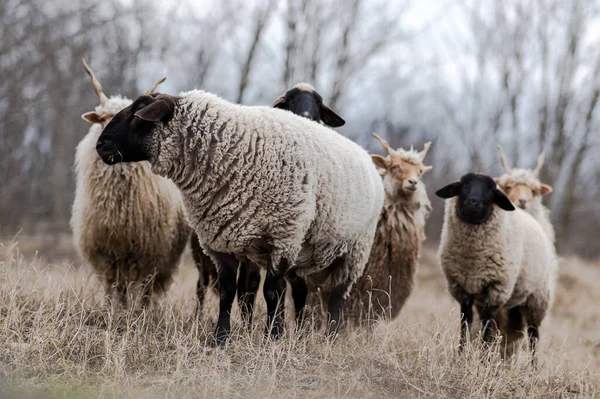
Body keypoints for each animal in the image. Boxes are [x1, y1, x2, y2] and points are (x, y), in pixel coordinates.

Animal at [71, 59, 191, 306]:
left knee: (149, 285)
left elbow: (138, 281)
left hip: (163, 257)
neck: (117, 206)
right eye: (102, 119)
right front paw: (111, 307)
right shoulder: (106, 249)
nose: (104, 145)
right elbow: (112, 281)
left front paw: (133, 310)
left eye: (134, 120)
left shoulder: (143, 250)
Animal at [95, 89, 384, 346]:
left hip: (355, 249)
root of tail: (364, 154)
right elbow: (228, 292)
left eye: (139, 109)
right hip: (305, 250)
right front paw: (220, 338)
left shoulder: (283, 236)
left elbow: (272, 292)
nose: (101, 145)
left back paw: (330, 337)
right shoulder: (220, 242)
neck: (235, 152)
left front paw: (272, 339)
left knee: (337, 294)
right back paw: (301, 334)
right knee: (301, 291)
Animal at [436, 173, 556, 364]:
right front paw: (461, 355)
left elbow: (487, 327)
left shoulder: (496, 290)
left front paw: (483, 360)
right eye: (464, 185)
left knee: (533, 335)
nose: (473, 202)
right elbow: (465, 324)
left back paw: (534, 367)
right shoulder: (463, 290)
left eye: (491, 190)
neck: (472, 260)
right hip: (512, 305)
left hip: (538, 298)